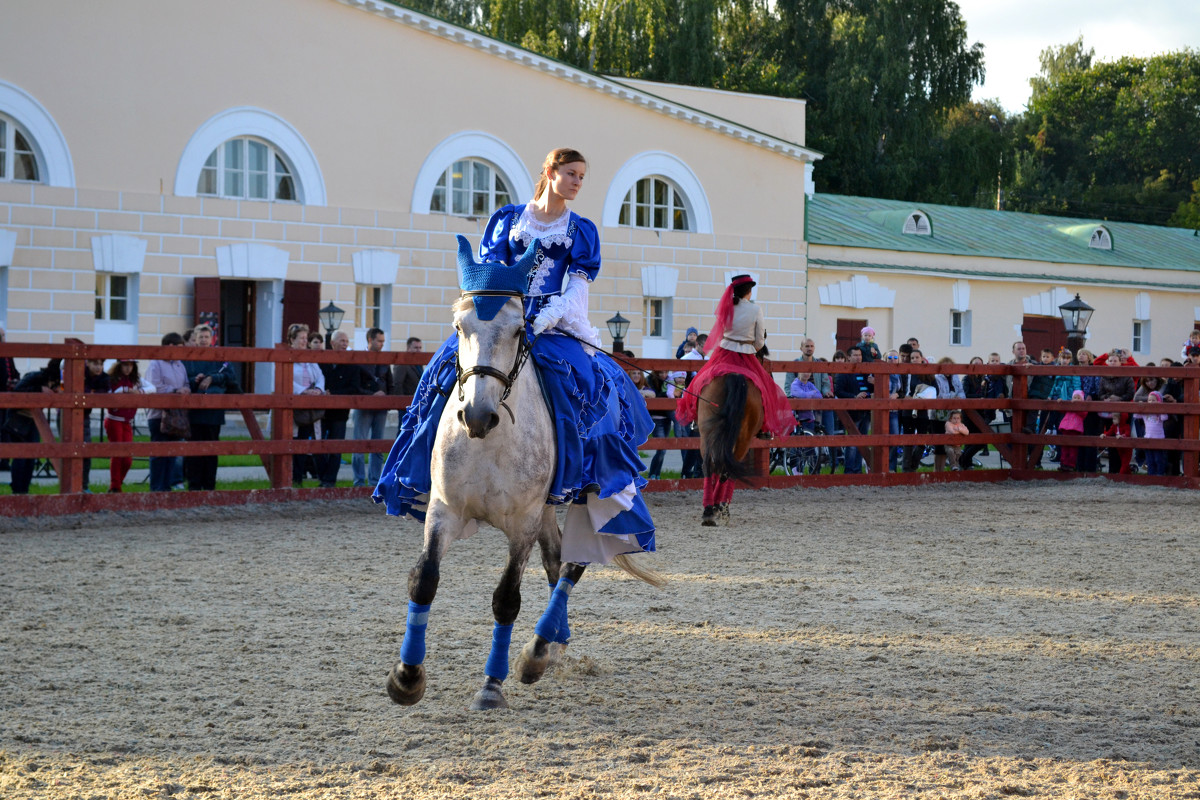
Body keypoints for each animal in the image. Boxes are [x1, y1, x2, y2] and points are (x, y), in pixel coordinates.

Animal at [700, 374, 763, 527]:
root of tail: (736, 375)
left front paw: (716, 506)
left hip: (708, 433)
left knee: (711, 466)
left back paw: (711, 510)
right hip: (742, 437)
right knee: (725, 469)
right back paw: (717, 509)